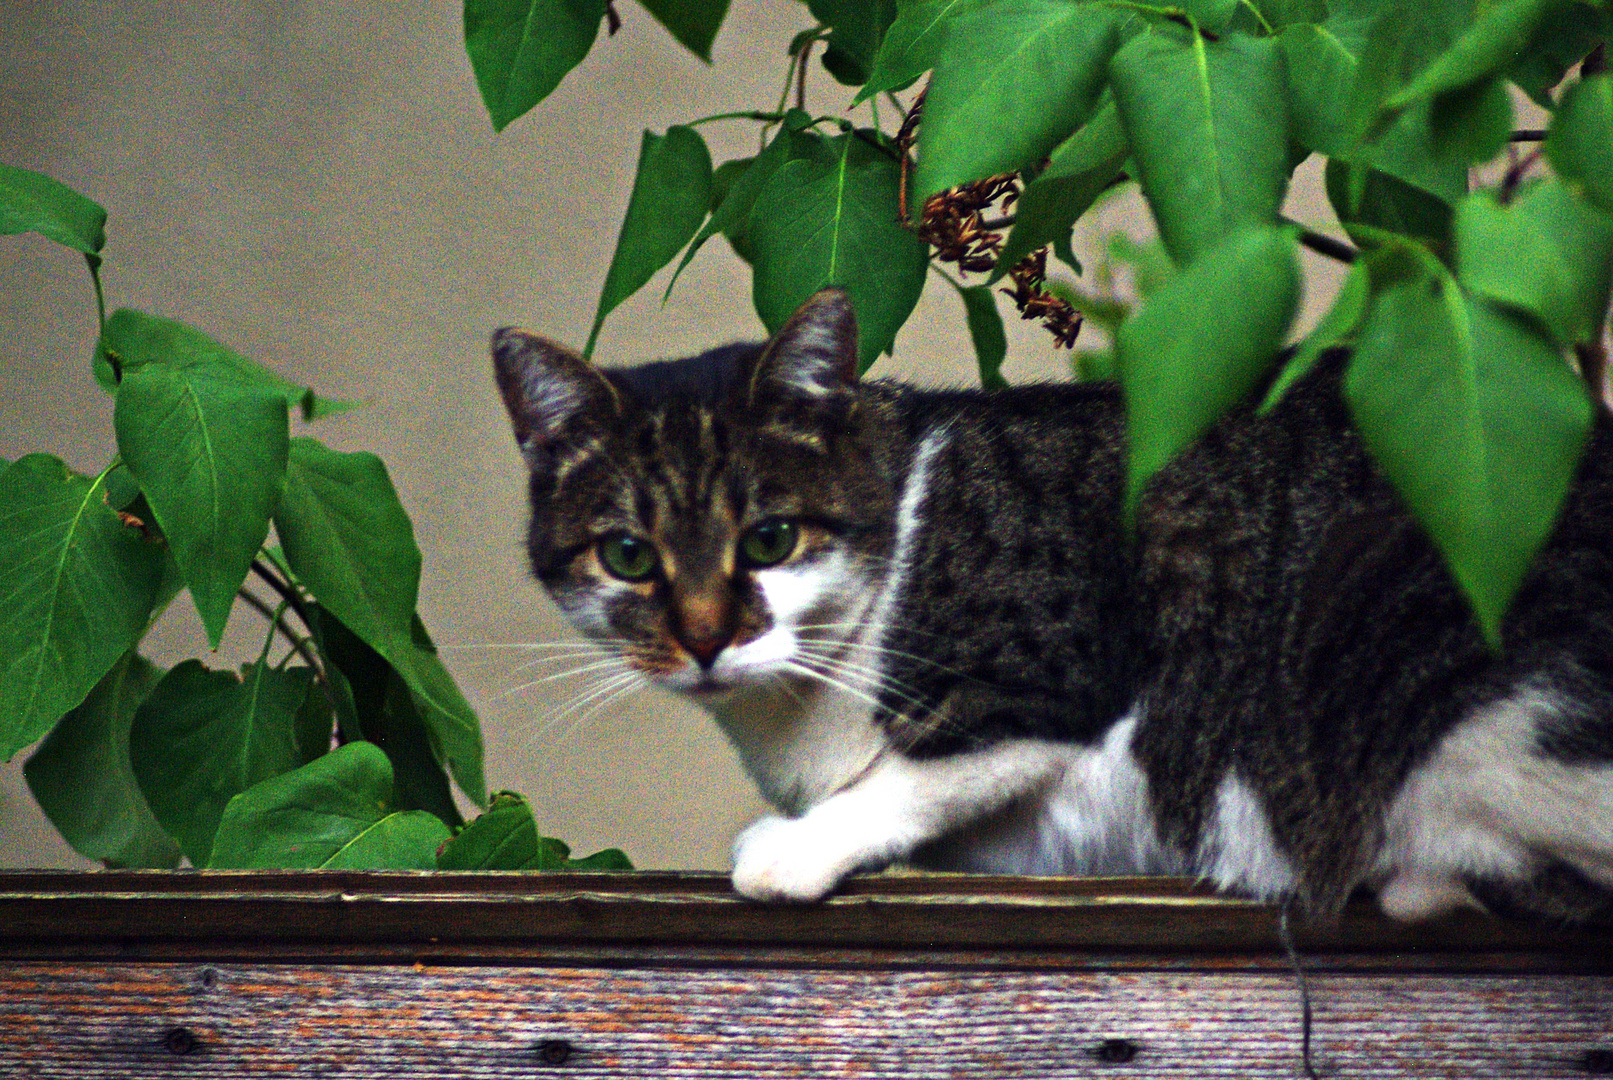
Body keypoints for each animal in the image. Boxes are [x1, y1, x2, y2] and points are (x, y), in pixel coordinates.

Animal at [487, 286, 1613, 922]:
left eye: (768, 539)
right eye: (628, 557)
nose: (705, 637)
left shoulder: (1055, 675)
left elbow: (931, 763)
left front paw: (792, 848)